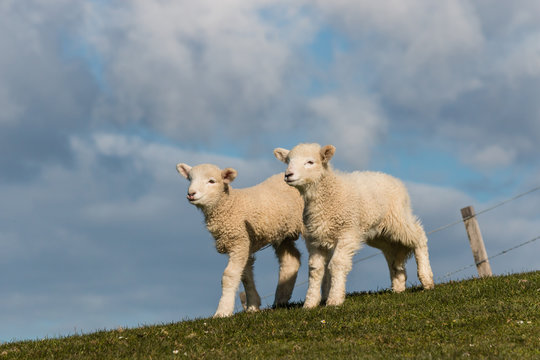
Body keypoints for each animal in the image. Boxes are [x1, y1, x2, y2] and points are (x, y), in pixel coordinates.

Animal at [177, 164, 304, 318]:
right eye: (190, 179)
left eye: (212, 181)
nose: (191, 193)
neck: (231, 204)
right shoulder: (243, 244)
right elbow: (246, 276)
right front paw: (253, 306)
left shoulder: (239, 241)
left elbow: (229, 275)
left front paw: (223, 310)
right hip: (282, 234)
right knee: (291, 261)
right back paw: (280, 300)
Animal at [274, 143, 434, 310]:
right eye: (288, 161)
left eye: (310, 162)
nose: (288, 175)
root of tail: (394, 179)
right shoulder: (315, 239)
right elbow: (315, 270)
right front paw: (310, 303)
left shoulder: (347, 233)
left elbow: (336, 264)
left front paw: (334, 299)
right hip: (379, 233)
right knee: (391, 252)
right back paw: (398, 285)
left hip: (398, 218)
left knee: (419, 236)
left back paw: (426, 279)